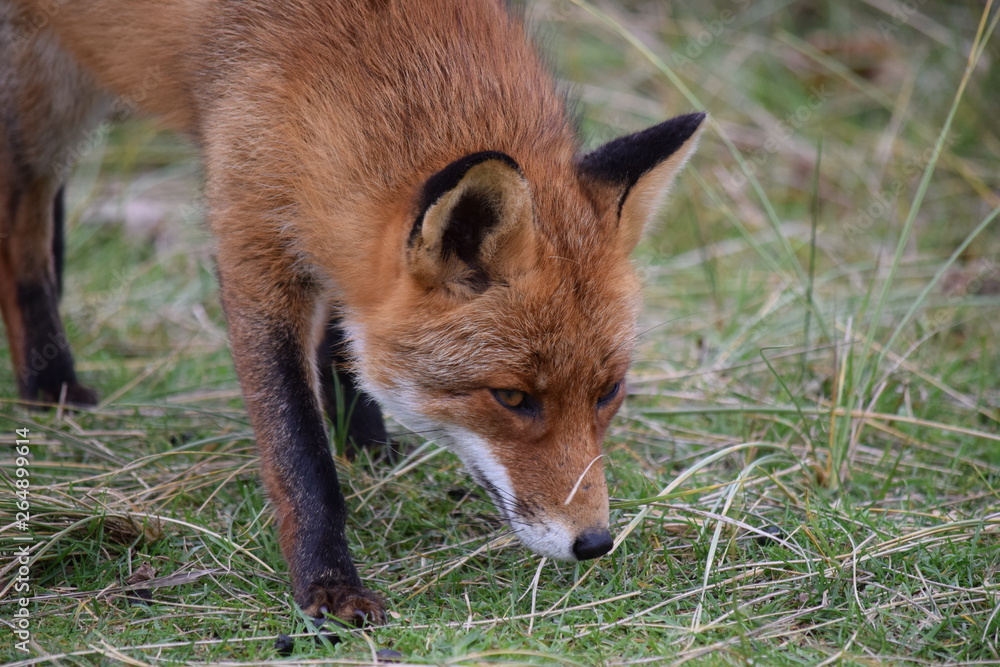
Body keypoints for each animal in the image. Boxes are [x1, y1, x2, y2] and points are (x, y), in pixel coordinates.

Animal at [0, 0, 704, 625]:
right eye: (511, 397)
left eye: (608, 392)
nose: (595, 543)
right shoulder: (250, 234)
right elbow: (299, 453)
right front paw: (328, 585)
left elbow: (344, 331)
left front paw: (363, 440)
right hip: (41, 94)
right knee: (23, 239)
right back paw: (50, 385)